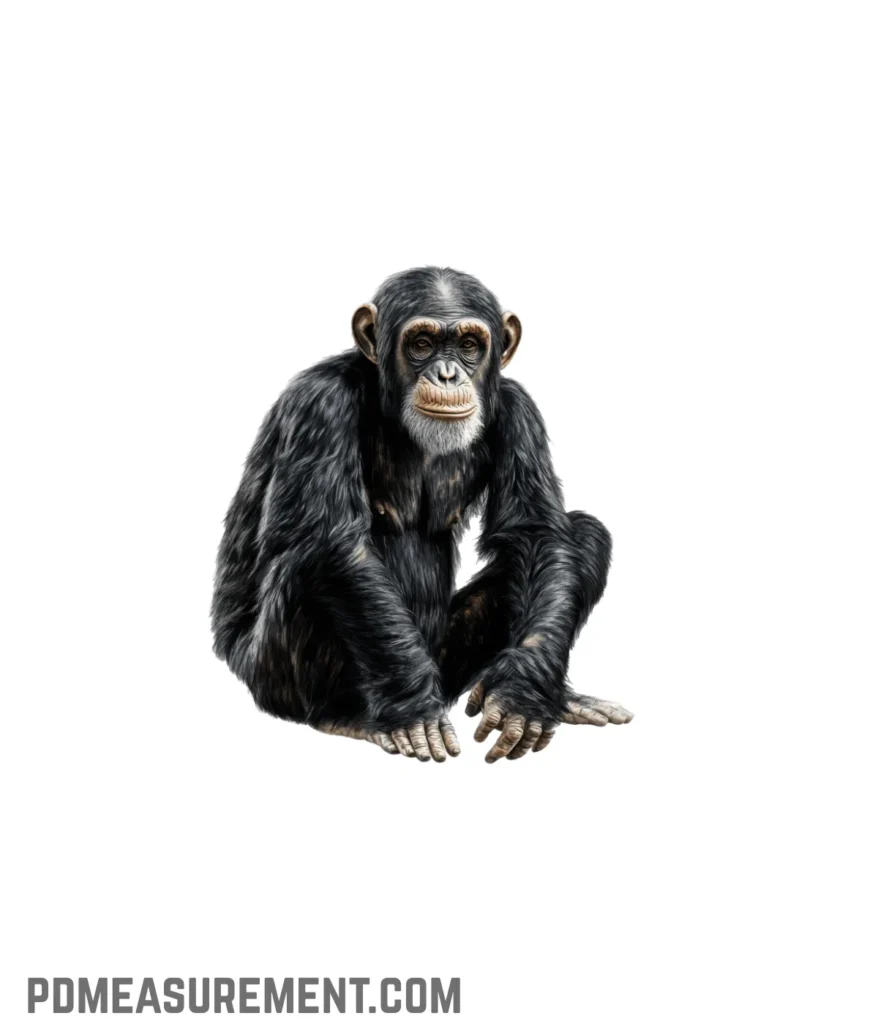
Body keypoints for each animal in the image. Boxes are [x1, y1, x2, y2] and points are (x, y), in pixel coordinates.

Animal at [211, 267, 632, 762]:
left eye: (469, 345)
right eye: (422, 343)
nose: (447, 374)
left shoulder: (520, 411)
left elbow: (534, 533)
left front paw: (522, 697)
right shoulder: (318, 403)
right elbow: (337, 546)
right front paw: (414, 713)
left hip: (447, 665)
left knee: (584, 533)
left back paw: (562, 699)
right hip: (268, 676)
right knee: (307, 561)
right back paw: (349, 719)